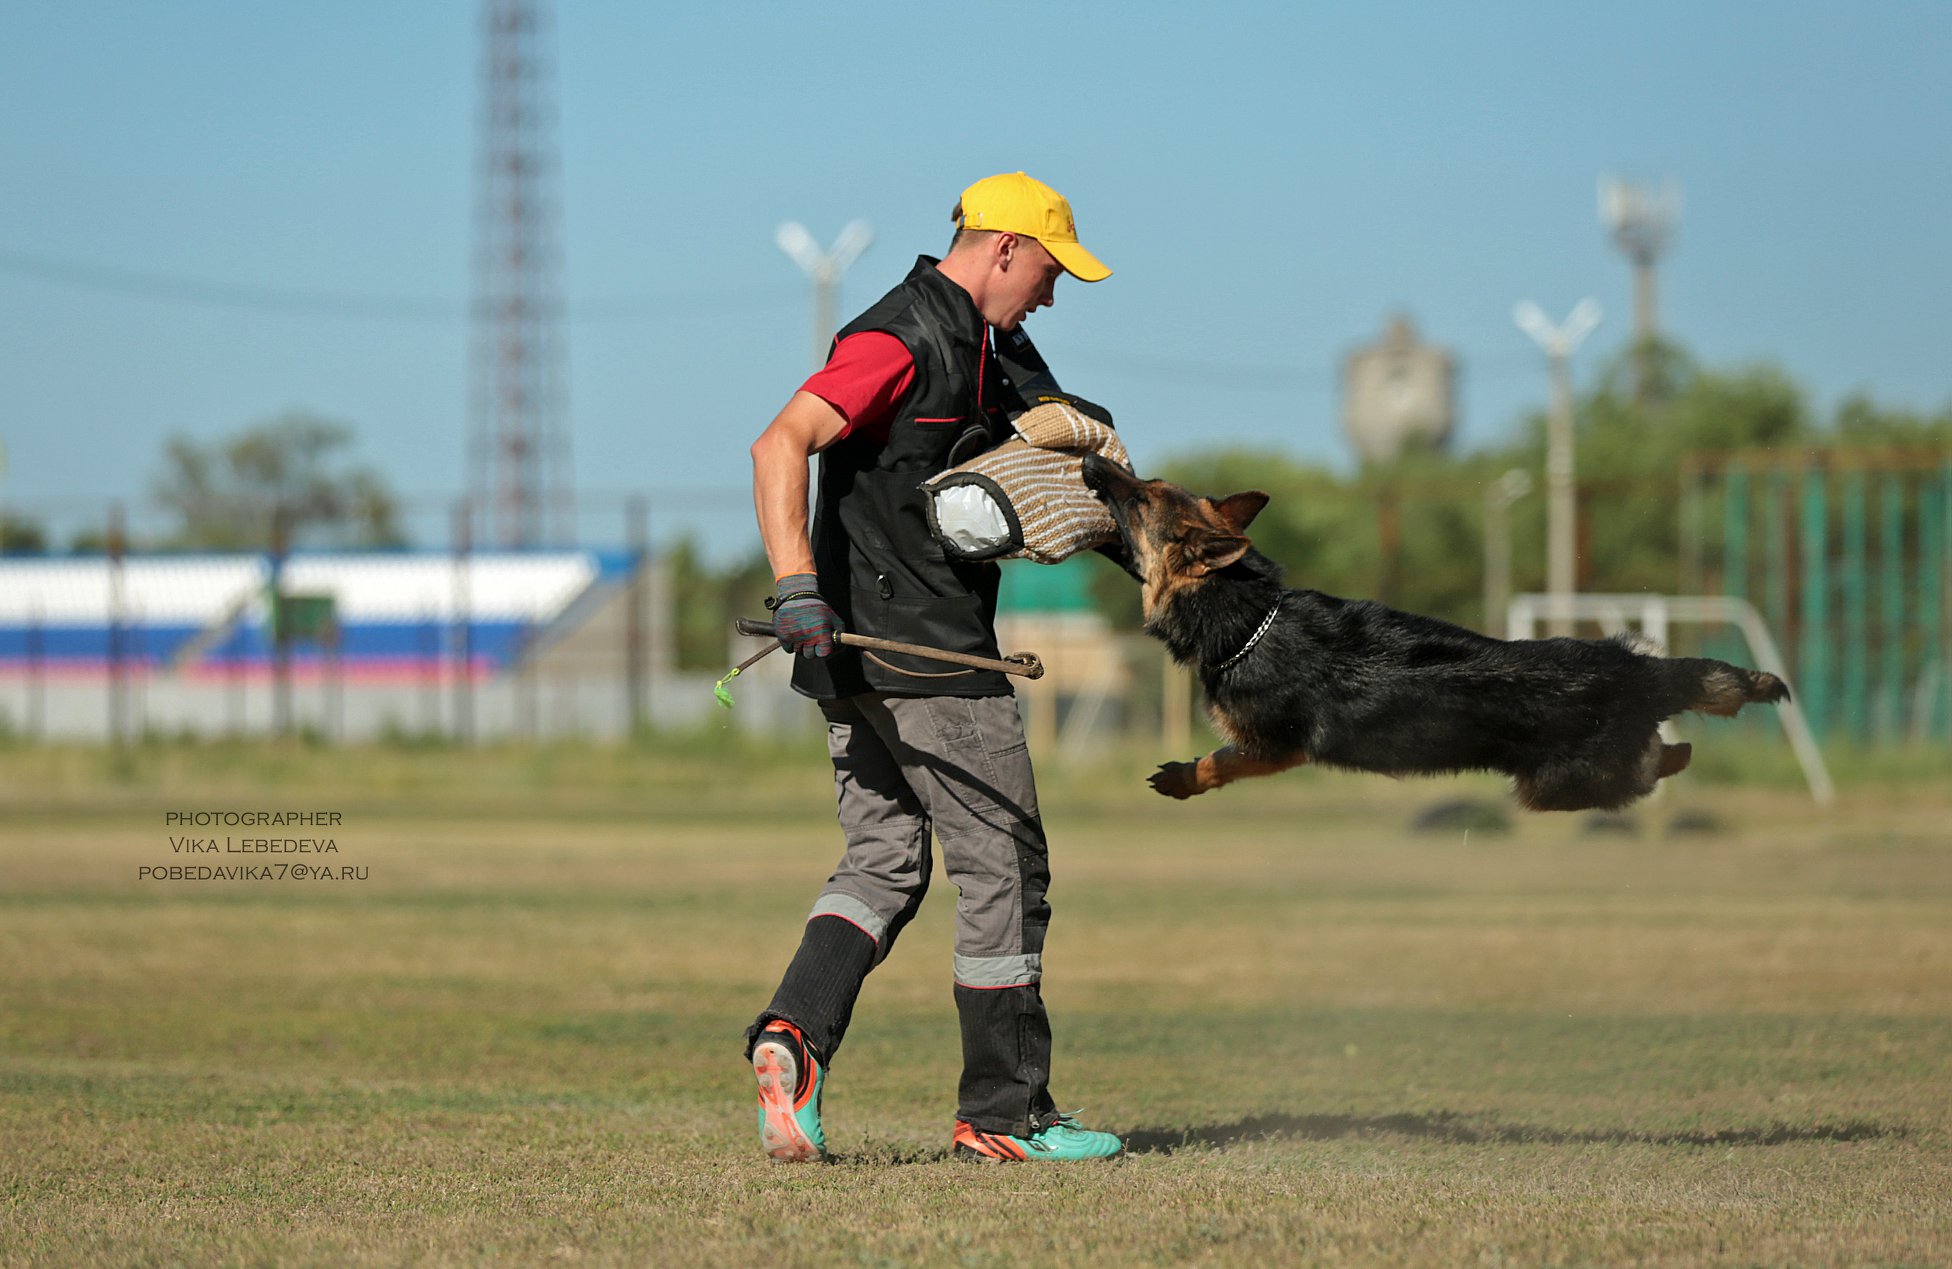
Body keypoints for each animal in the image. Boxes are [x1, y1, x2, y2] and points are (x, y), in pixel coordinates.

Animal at [1077, 454, 1788, 812]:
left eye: (1138, 499)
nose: (1089, 459)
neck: (1249, 616)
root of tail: (1635, 671)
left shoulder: (1273, 747)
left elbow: (1219, 762)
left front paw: (1184, 777)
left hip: (1556, 787)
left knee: (1653, 765)